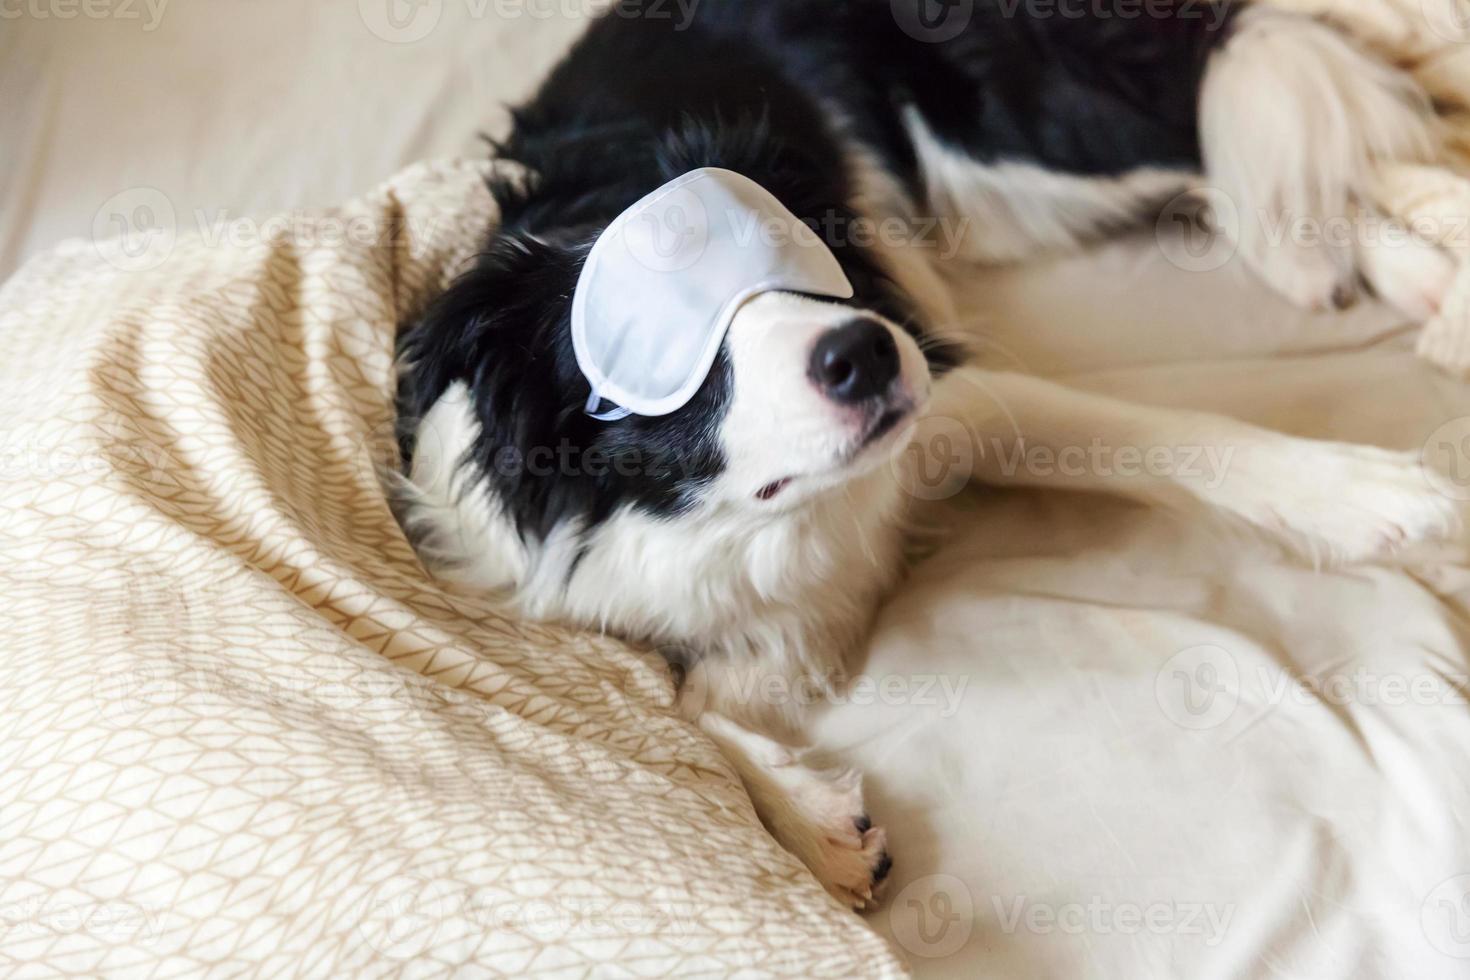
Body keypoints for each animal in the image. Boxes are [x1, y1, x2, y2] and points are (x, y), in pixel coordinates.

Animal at [396, 0, 1464, 910]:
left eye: (806, 259)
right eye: (669, 354)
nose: (863, 353)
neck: (767, 519)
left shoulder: (942, 373)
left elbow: (1167, 437)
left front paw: (1371, 496)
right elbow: (685, 704)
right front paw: (815, 827)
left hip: (1017, 133)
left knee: (1262, 101)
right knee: (1252, 149)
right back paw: (1356, 265)